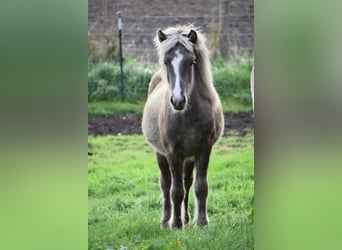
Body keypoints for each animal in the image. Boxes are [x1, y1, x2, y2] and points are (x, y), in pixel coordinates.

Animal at [142, 25, 224, 229]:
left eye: (191, 62)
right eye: (166, 62)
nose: (178, 100)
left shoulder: (204, 149)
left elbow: (200, 187)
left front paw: (201, 222)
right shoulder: (172, 152)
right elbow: (175, 190)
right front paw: (176, 224)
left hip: (188, 158)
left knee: (187, 183)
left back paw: (186, 218)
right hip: (161, 154)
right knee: (166, 184)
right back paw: (166, 220)